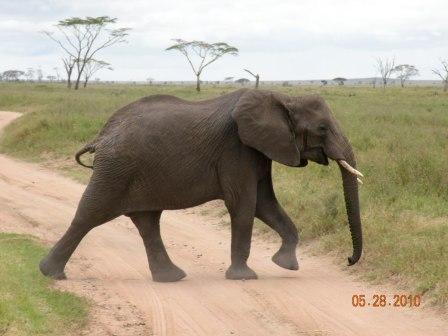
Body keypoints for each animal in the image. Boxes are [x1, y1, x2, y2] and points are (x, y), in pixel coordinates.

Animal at [39, 88, 364, 282]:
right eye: (322, 128)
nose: (349, 260)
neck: (283, 97)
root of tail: (102, 134)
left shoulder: (258, 150)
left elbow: (265, 204)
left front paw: (286, 265)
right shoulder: (237, 148)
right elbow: (244, 205)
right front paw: (244, 277)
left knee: (147, 222)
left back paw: (172, 278)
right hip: (115, 170)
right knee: (90, 214)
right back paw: (50, 274)